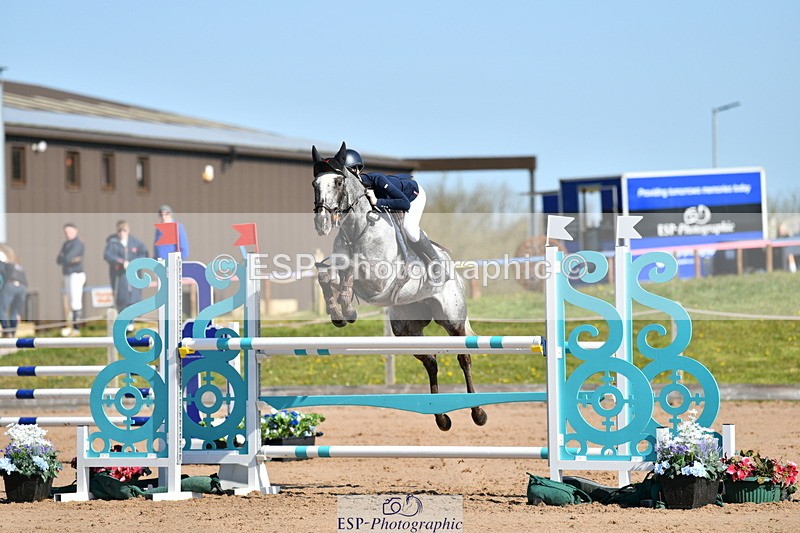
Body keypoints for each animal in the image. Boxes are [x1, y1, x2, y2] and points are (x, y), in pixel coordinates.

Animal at [311, 142, 487, 431]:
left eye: (338, 181)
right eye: (315, 183)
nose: (322, 223)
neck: (357, 228)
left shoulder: (378, 277)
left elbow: (352, 270)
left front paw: (347, 305)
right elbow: (327, 275)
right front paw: (340, 313)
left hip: (452, 319)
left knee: (464, 358)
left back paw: (478, 413)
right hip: (406, 328)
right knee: (431, 361)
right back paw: (441, 417)